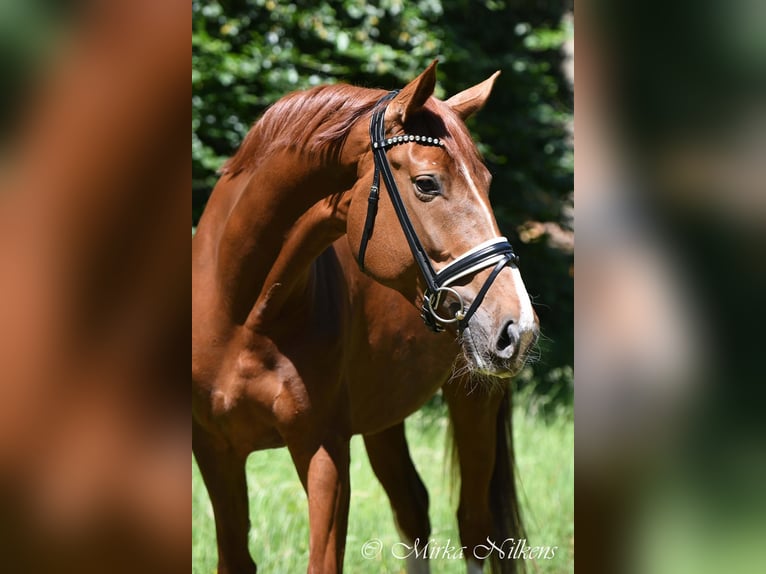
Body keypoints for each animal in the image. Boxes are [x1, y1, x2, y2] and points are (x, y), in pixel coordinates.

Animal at [192, 60, 539, 574]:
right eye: (426, 184)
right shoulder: (216, 451)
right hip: (383, 415)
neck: (243, 315)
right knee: (413, 510)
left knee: (473, 527)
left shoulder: (324, 450)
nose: (518, 327)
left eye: (487, 183)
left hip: (473, 401)